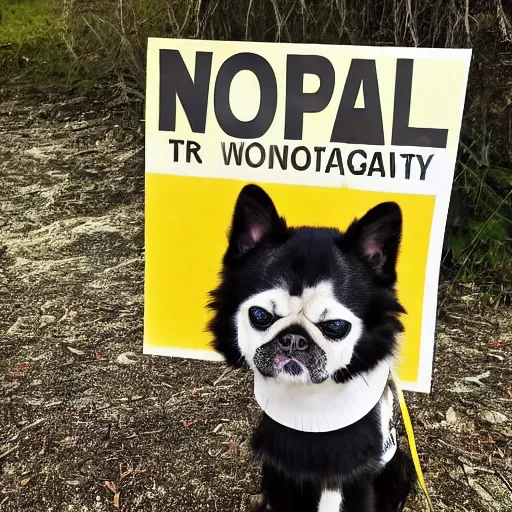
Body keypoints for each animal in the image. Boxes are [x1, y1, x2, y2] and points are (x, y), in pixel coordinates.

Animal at [208, 184, 416, 512]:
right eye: (260, 316)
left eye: (335, 326)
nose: (293, 339)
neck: (310, 402)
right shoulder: (282, 467)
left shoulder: (354, 473)